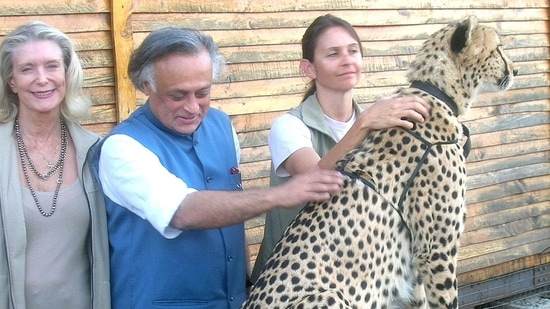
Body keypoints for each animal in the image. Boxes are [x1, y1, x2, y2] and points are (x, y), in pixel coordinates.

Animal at [244, 15, 520, 306]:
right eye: (499, 49)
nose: (516, 71)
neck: (435, 92)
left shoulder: (415, 261)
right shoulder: (437, 250)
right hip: (330, 295)